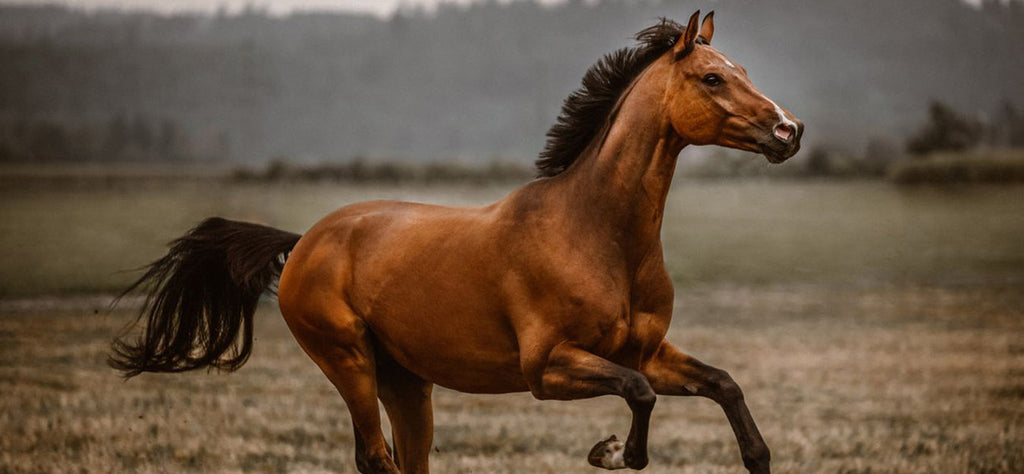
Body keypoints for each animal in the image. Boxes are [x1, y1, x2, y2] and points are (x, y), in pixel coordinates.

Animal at [111, 11, 803, 474]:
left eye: (741, 71)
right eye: (712, 79)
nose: (788, 131)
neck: (597, 234)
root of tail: (307, 240)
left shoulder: (647, 351)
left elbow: (724, 385)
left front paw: (754, 454)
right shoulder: (548, 368)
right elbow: (639, 395)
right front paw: (608, 451)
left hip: (406, 382)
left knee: (405, 460)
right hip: (349, 362)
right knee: (374, 457)